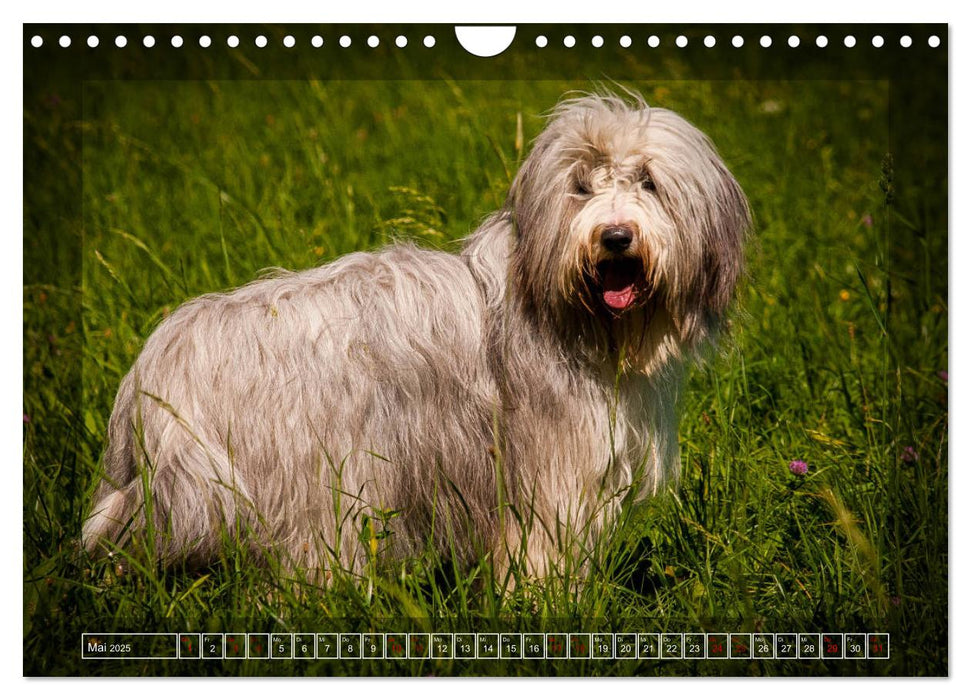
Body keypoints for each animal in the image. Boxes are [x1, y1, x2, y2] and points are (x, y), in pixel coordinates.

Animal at [83, 94, 752, 584]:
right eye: (580, 188)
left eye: (648, 182)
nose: (614, 237)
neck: (573, 316)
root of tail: (154, 370)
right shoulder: (548, 471)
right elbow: (540, 549)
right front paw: (543, 604)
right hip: (313, 479)